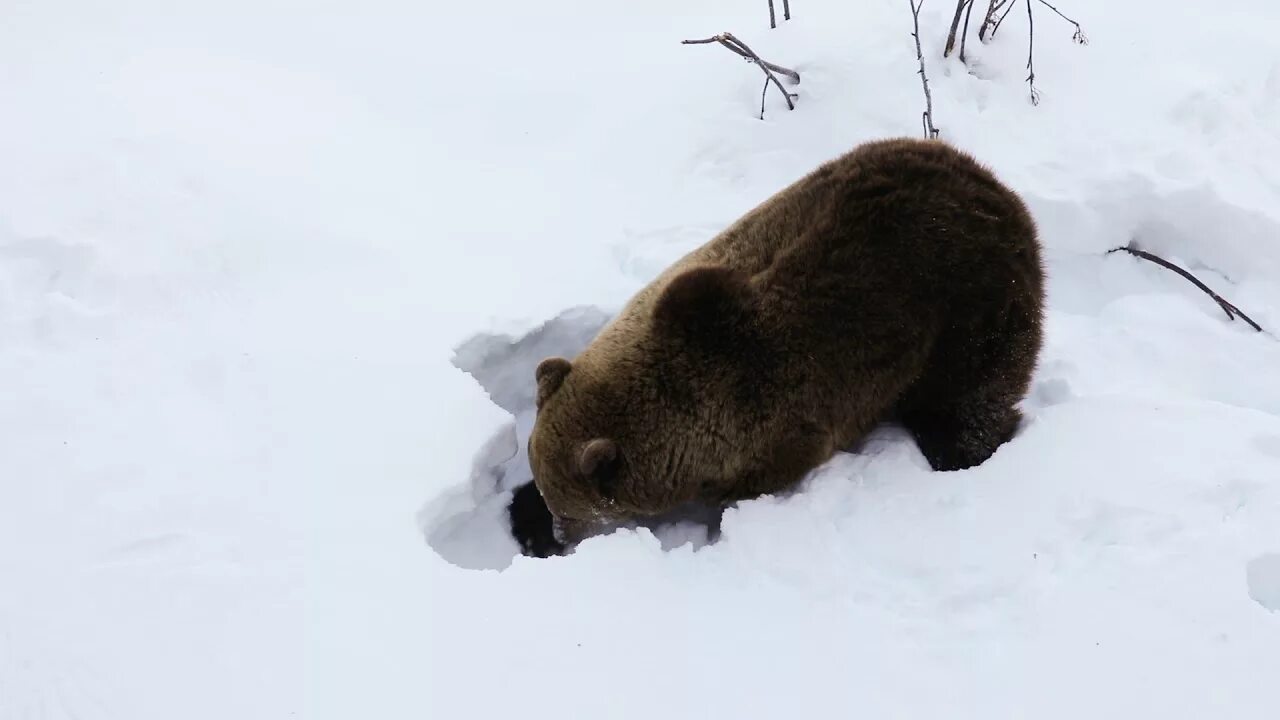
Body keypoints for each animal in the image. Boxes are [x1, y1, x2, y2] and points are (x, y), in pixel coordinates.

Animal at [506, 137, 1039, 550]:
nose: (560, 532)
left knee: (968, 405)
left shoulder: (781, 431)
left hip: (969, 309)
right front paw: (522, 515)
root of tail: (997, 187)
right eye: (554, 500)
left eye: (574, 510)